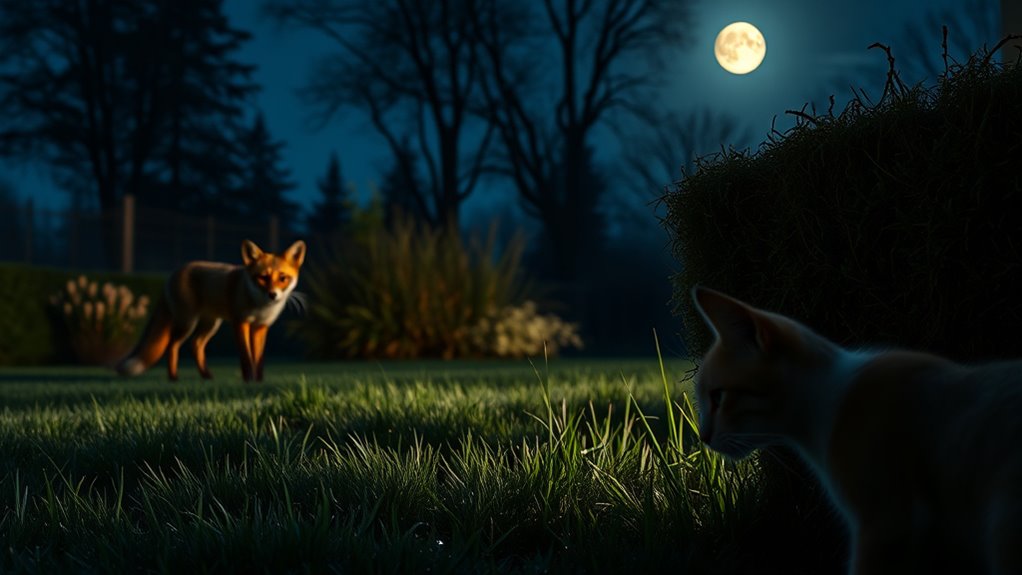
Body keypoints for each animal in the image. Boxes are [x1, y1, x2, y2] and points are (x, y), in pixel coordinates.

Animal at [116, 239, 306, 382]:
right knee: (172, 345)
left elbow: (258, 358)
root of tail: (174, 273)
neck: (260, 306)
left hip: (211, 324)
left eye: (283, 278)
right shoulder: (240, 322)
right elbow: (246, 356)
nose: (273, 294)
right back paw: (173, 378)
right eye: (263, 277)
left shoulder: (261, 327)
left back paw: (206, 376)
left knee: (196, 345)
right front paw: (248, 380)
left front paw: (259, 381)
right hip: (187, 323)